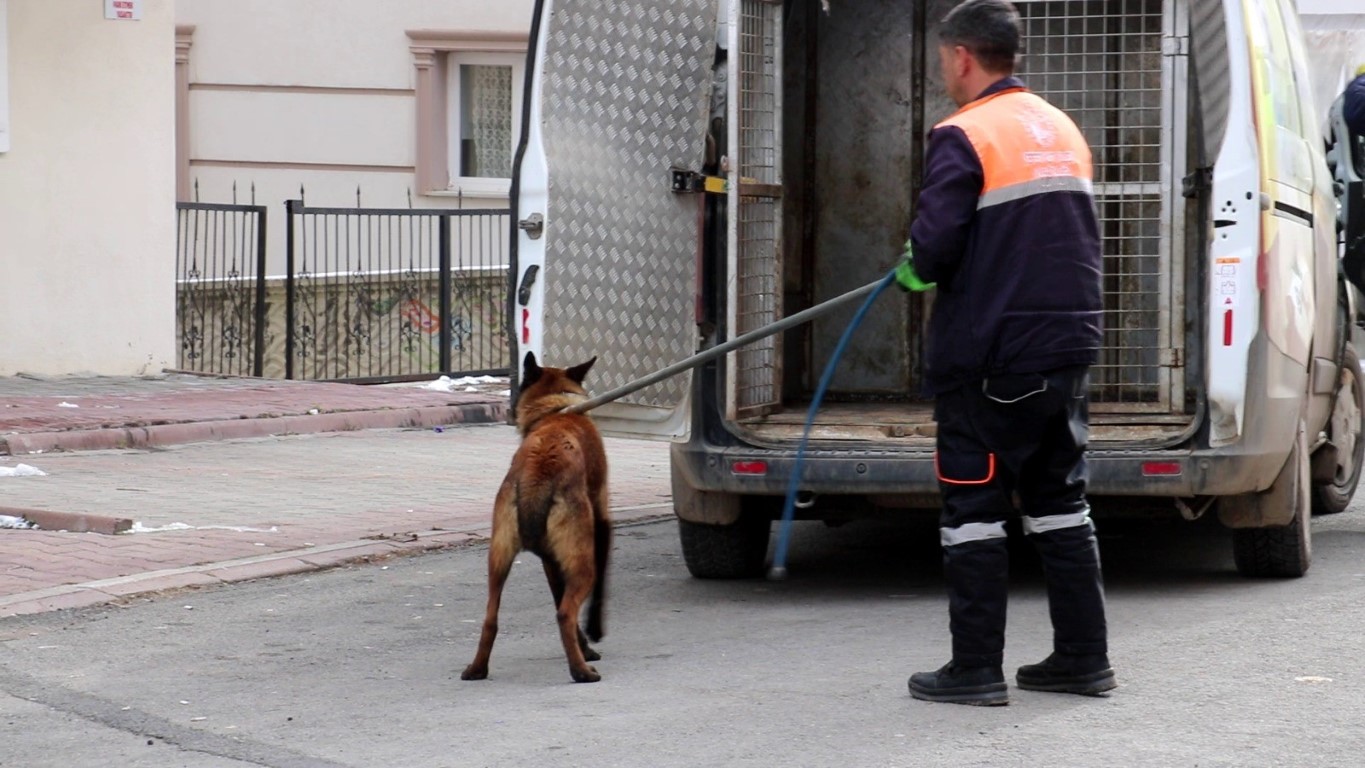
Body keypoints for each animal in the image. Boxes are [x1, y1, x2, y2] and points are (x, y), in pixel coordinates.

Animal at [461, 351, 611, 682]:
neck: (555, 408)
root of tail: (538, 471)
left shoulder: (550, 560)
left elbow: (557, 595)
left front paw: (586, 645)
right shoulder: (602, 521)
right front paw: (594, 635)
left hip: (498, 560)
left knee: (491, 617)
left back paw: (477, 668)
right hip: (582, 562)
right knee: (566, 612)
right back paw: (581, 671)